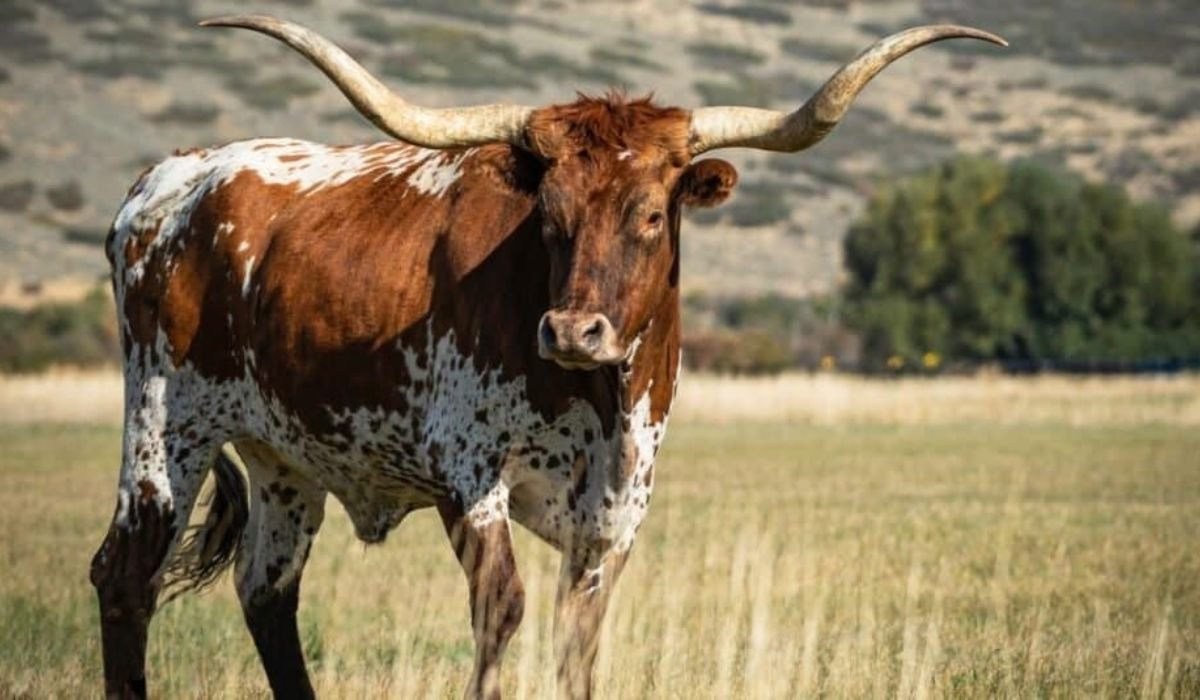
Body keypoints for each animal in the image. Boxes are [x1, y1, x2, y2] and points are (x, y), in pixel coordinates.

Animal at [88, 15, 1004, 699]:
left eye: (651, 214)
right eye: (551, 216)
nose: (571, 332)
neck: (600, 398)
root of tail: (168, 177)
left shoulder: (617, 510)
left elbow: (578, 638)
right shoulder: (470, 473)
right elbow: (501, 613)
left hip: (285, 459)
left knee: (268, 596)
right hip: (165, 429)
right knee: (124, 578)